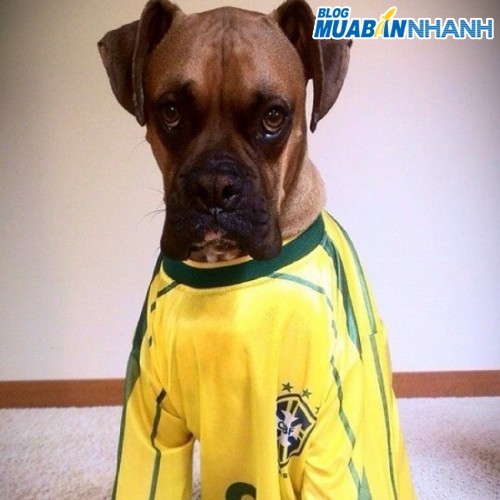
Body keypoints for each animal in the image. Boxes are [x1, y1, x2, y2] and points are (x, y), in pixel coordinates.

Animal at [99, 1, 414, 498]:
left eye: (273, 116)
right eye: (170, 111)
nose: (214, 185)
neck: (223, 276)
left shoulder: (327, 444)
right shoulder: (152, 425)